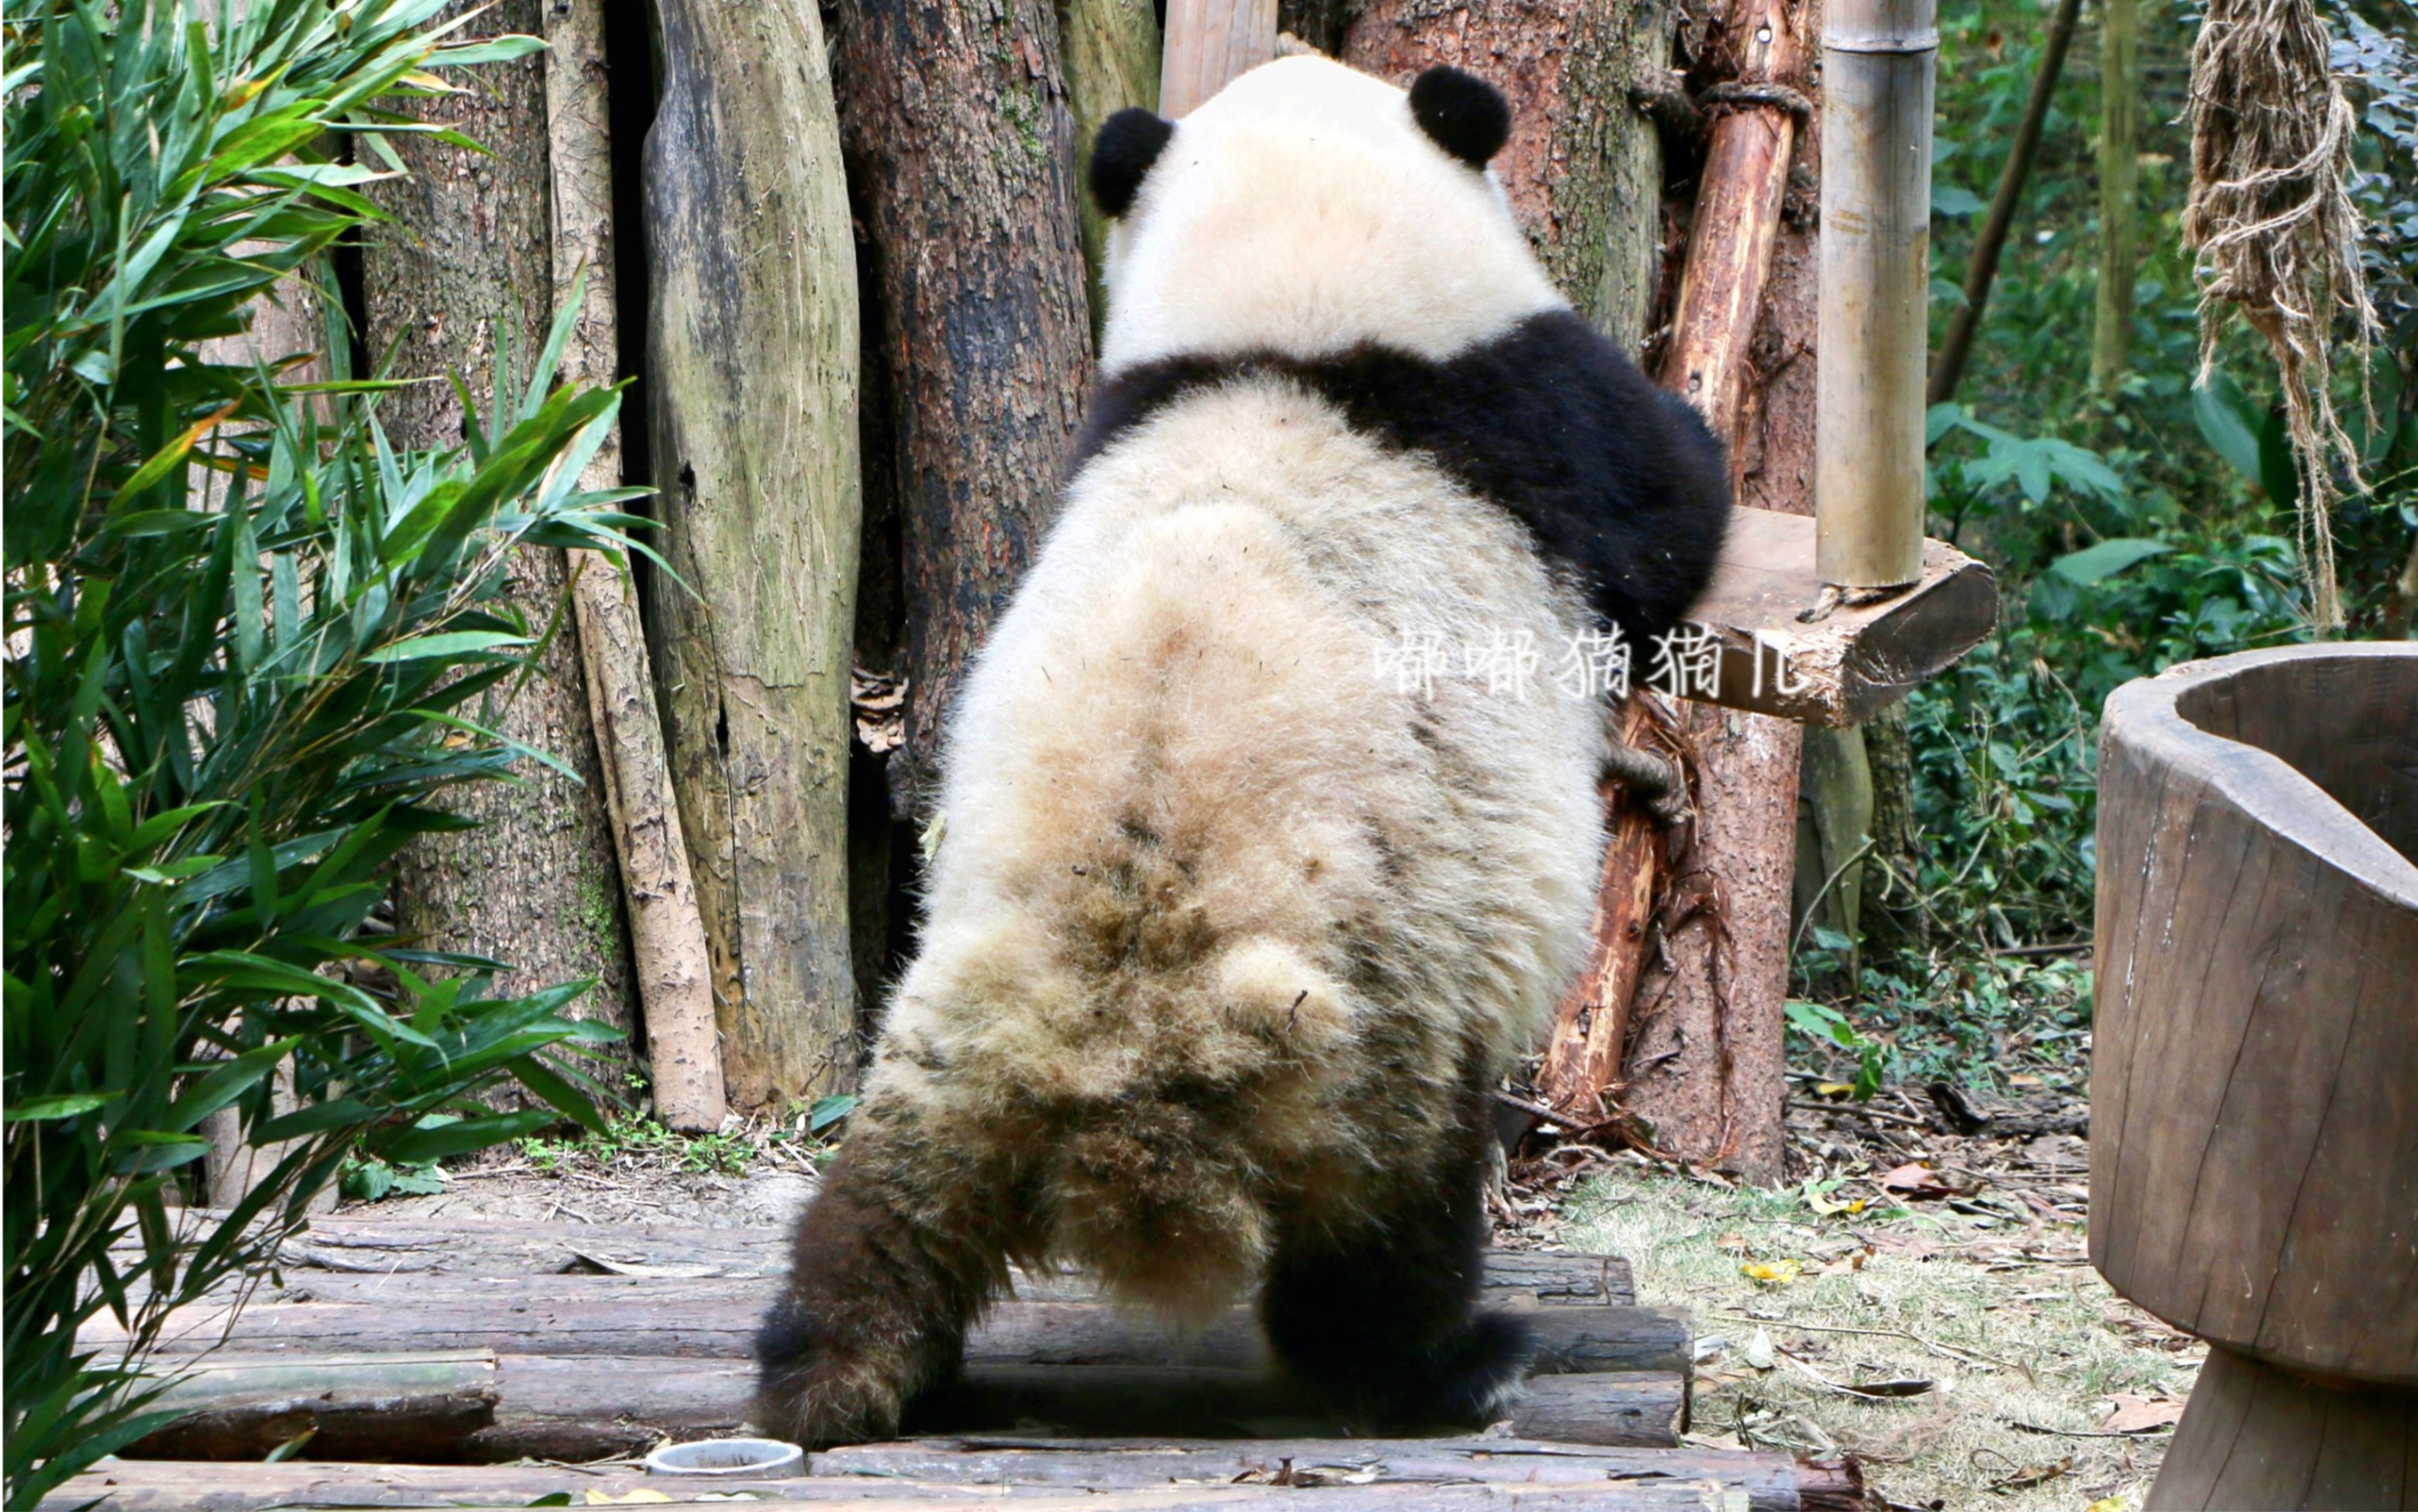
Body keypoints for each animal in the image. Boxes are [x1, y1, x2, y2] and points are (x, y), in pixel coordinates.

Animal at [764, 53, 1731, 1442]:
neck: (1284, 336)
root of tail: (1123, 1046)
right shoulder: (1537, 419)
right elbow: (1670, 502)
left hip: (949, 1038)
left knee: (882, 1219)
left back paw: (832, 1370)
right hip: (1370, 1038)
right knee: (1385, 1230)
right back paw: (1448, 1364)